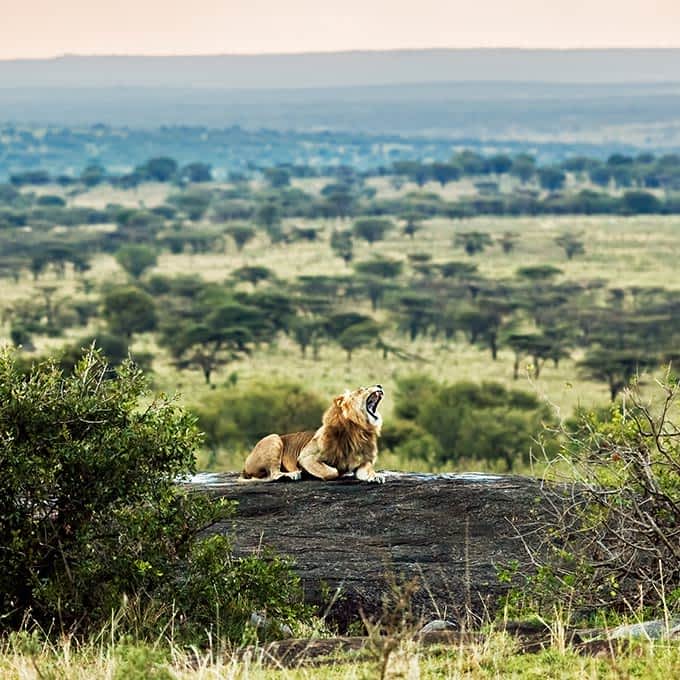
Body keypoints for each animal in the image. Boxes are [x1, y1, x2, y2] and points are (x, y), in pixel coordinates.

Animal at [240, 382, 386, 484]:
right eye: (362, 389)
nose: (379, 385)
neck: (357, 429)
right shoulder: (306, 457)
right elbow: (332, 472)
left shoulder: (362, 462)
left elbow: (367, 470)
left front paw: (375, 476)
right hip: (273, 438)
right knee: (273, 474)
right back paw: (290, 475)